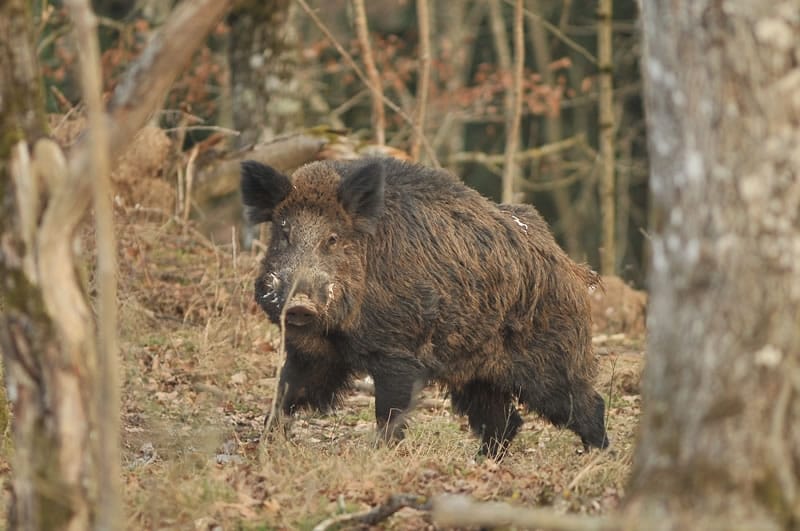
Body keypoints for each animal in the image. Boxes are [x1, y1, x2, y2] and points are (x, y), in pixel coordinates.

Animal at [241, 157, 608, 458]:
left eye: (332, 238)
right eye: (283, 233)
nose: (299, 306)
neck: (336, 331)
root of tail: (569, 264)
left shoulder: (398, 355)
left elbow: (389, 411)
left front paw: (381, 455)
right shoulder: (312, 354)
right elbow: (286, 392)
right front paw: (265, 445)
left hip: (551, 363)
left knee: (587, 404)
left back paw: (597, 456)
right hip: (476, 376)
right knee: (505, 420)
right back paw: (480, 462)